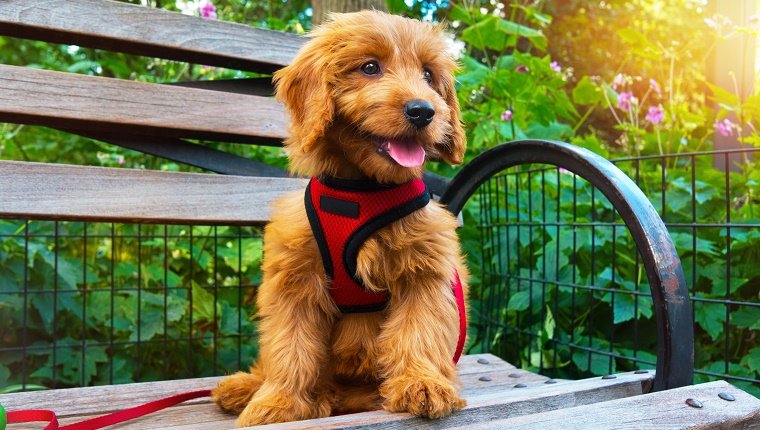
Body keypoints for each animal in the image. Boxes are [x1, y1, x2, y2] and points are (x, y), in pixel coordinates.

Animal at [211, 10, 466, 426]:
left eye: (428, 75)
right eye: (370, 67)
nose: (423, 111)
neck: (361, 190)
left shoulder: (423, 273)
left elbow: (418, 331)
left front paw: (422, 384)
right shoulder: (295, 278)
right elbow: (290, 346)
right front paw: (278, 402)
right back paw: (247, 387)